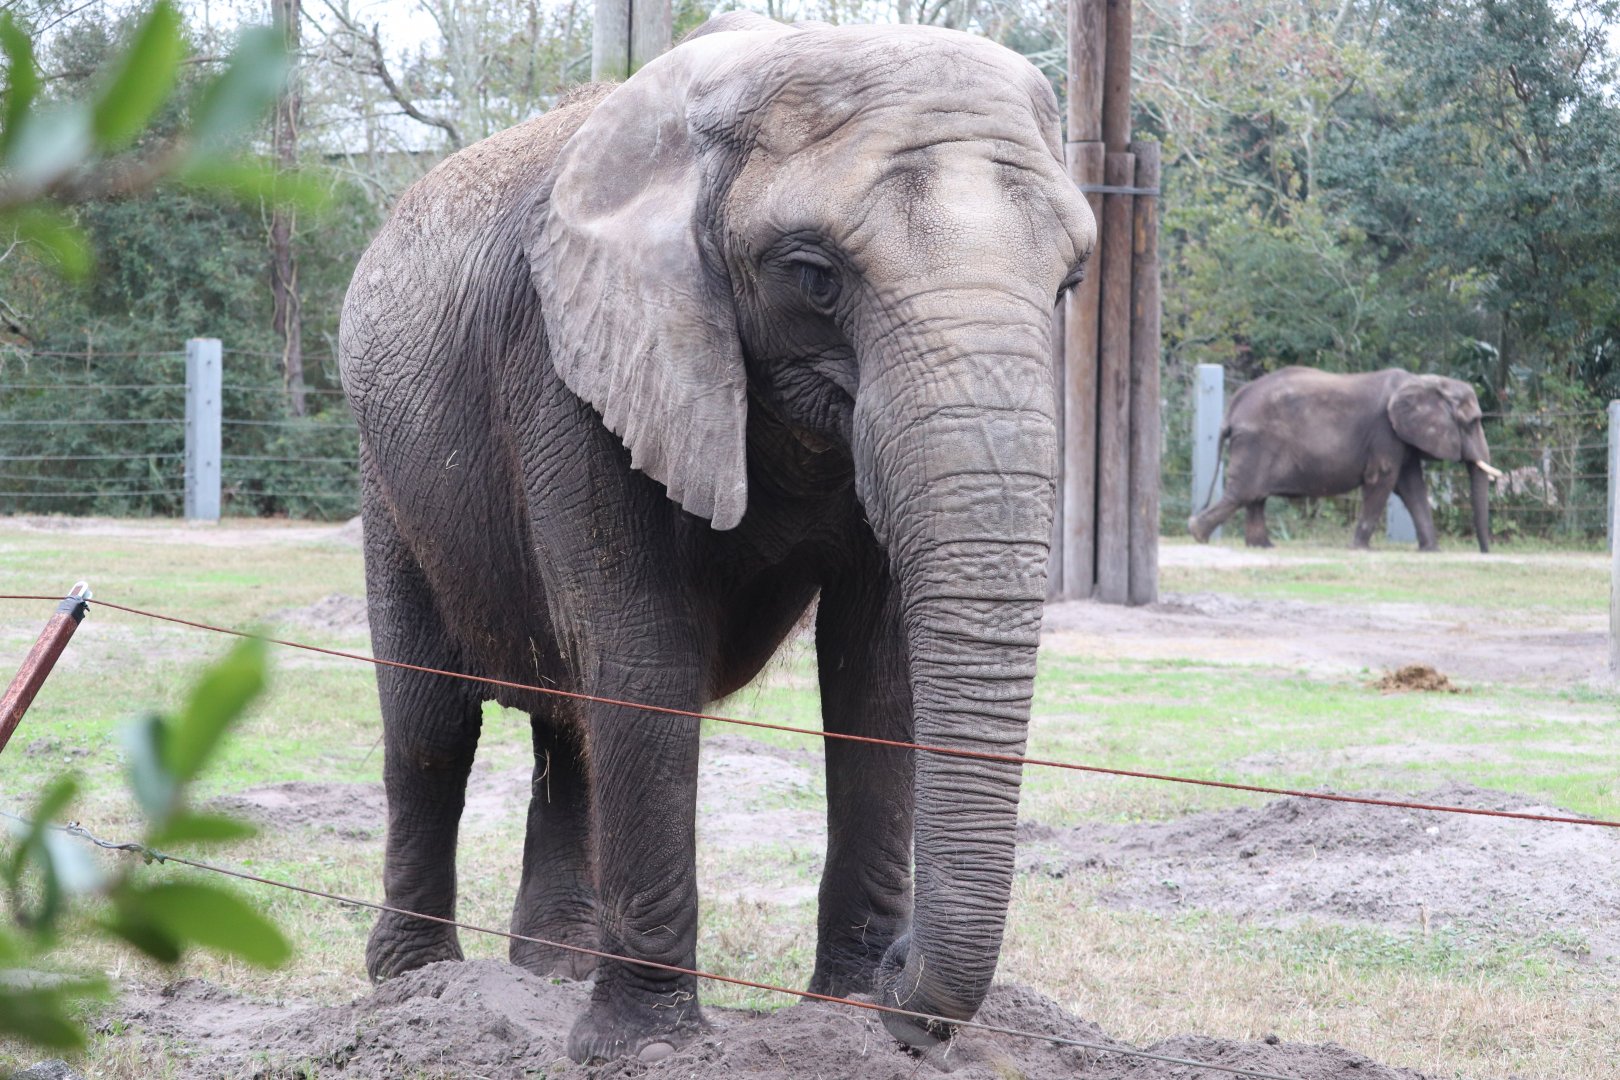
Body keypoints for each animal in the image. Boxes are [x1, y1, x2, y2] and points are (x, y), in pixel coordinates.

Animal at [338, 12, 1094, 1066]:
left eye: (1070, 283)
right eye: (814, 278)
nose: (908, 986)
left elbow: (875, 670)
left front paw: (844, 1014)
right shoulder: (573, 365)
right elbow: (644, 654)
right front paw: (643, 1049)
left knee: (566, 725)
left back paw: (551, 971)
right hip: (388, 476)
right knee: (430, 726)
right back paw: (420, 987)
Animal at [1187, 367, 1501, 552]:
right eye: (1473, 422)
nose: (1485, 551)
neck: (1423, 381)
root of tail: (1233, 406)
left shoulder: (1400, 436)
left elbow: (1412, 487)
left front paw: (1431, 551)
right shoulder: (1384, 431)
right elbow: (1382, 480)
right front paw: (1361, 550)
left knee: (1254, 497)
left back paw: (1262, 546)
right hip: (1257, 442)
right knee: (1243, 493)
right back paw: (1198, 534)